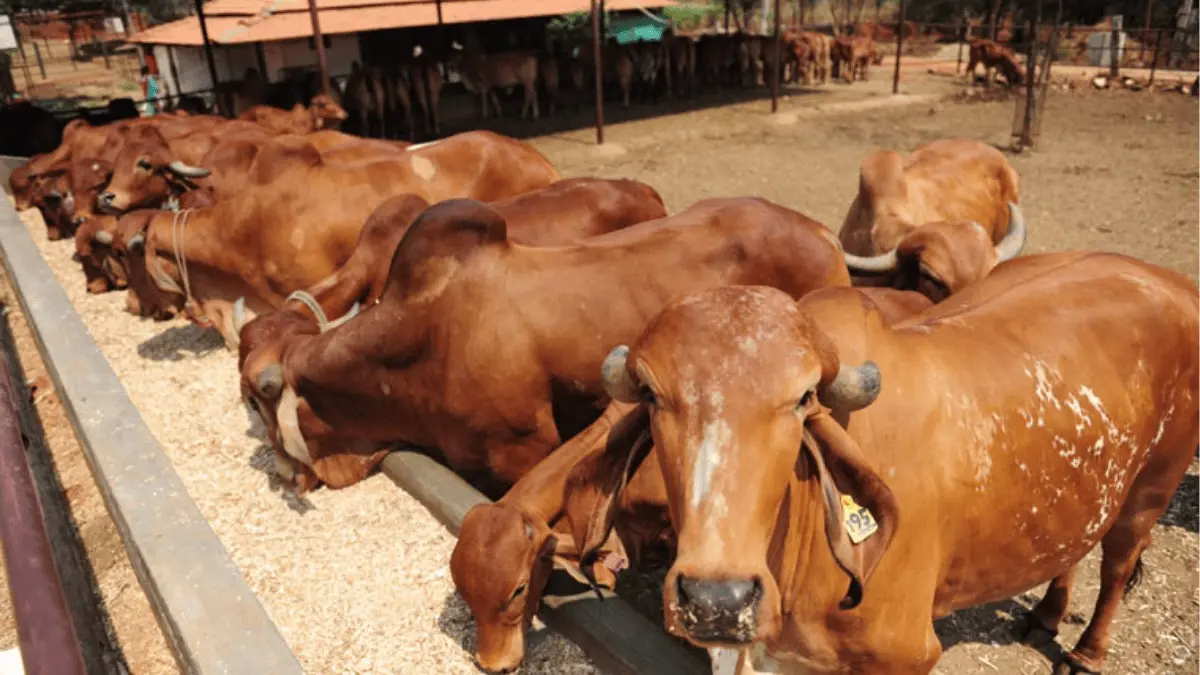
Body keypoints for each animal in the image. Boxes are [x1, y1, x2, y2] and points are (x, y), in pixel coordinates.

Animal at [569, 252, 1198, 675]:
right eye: (651, 394)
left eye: (803, 398)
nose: (716, 601)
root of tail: (1168, 279)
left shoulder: (906, 656)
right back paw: (1047, 613)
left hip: (1153, 486)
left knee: (1118, 564)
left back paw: (1087, 653)